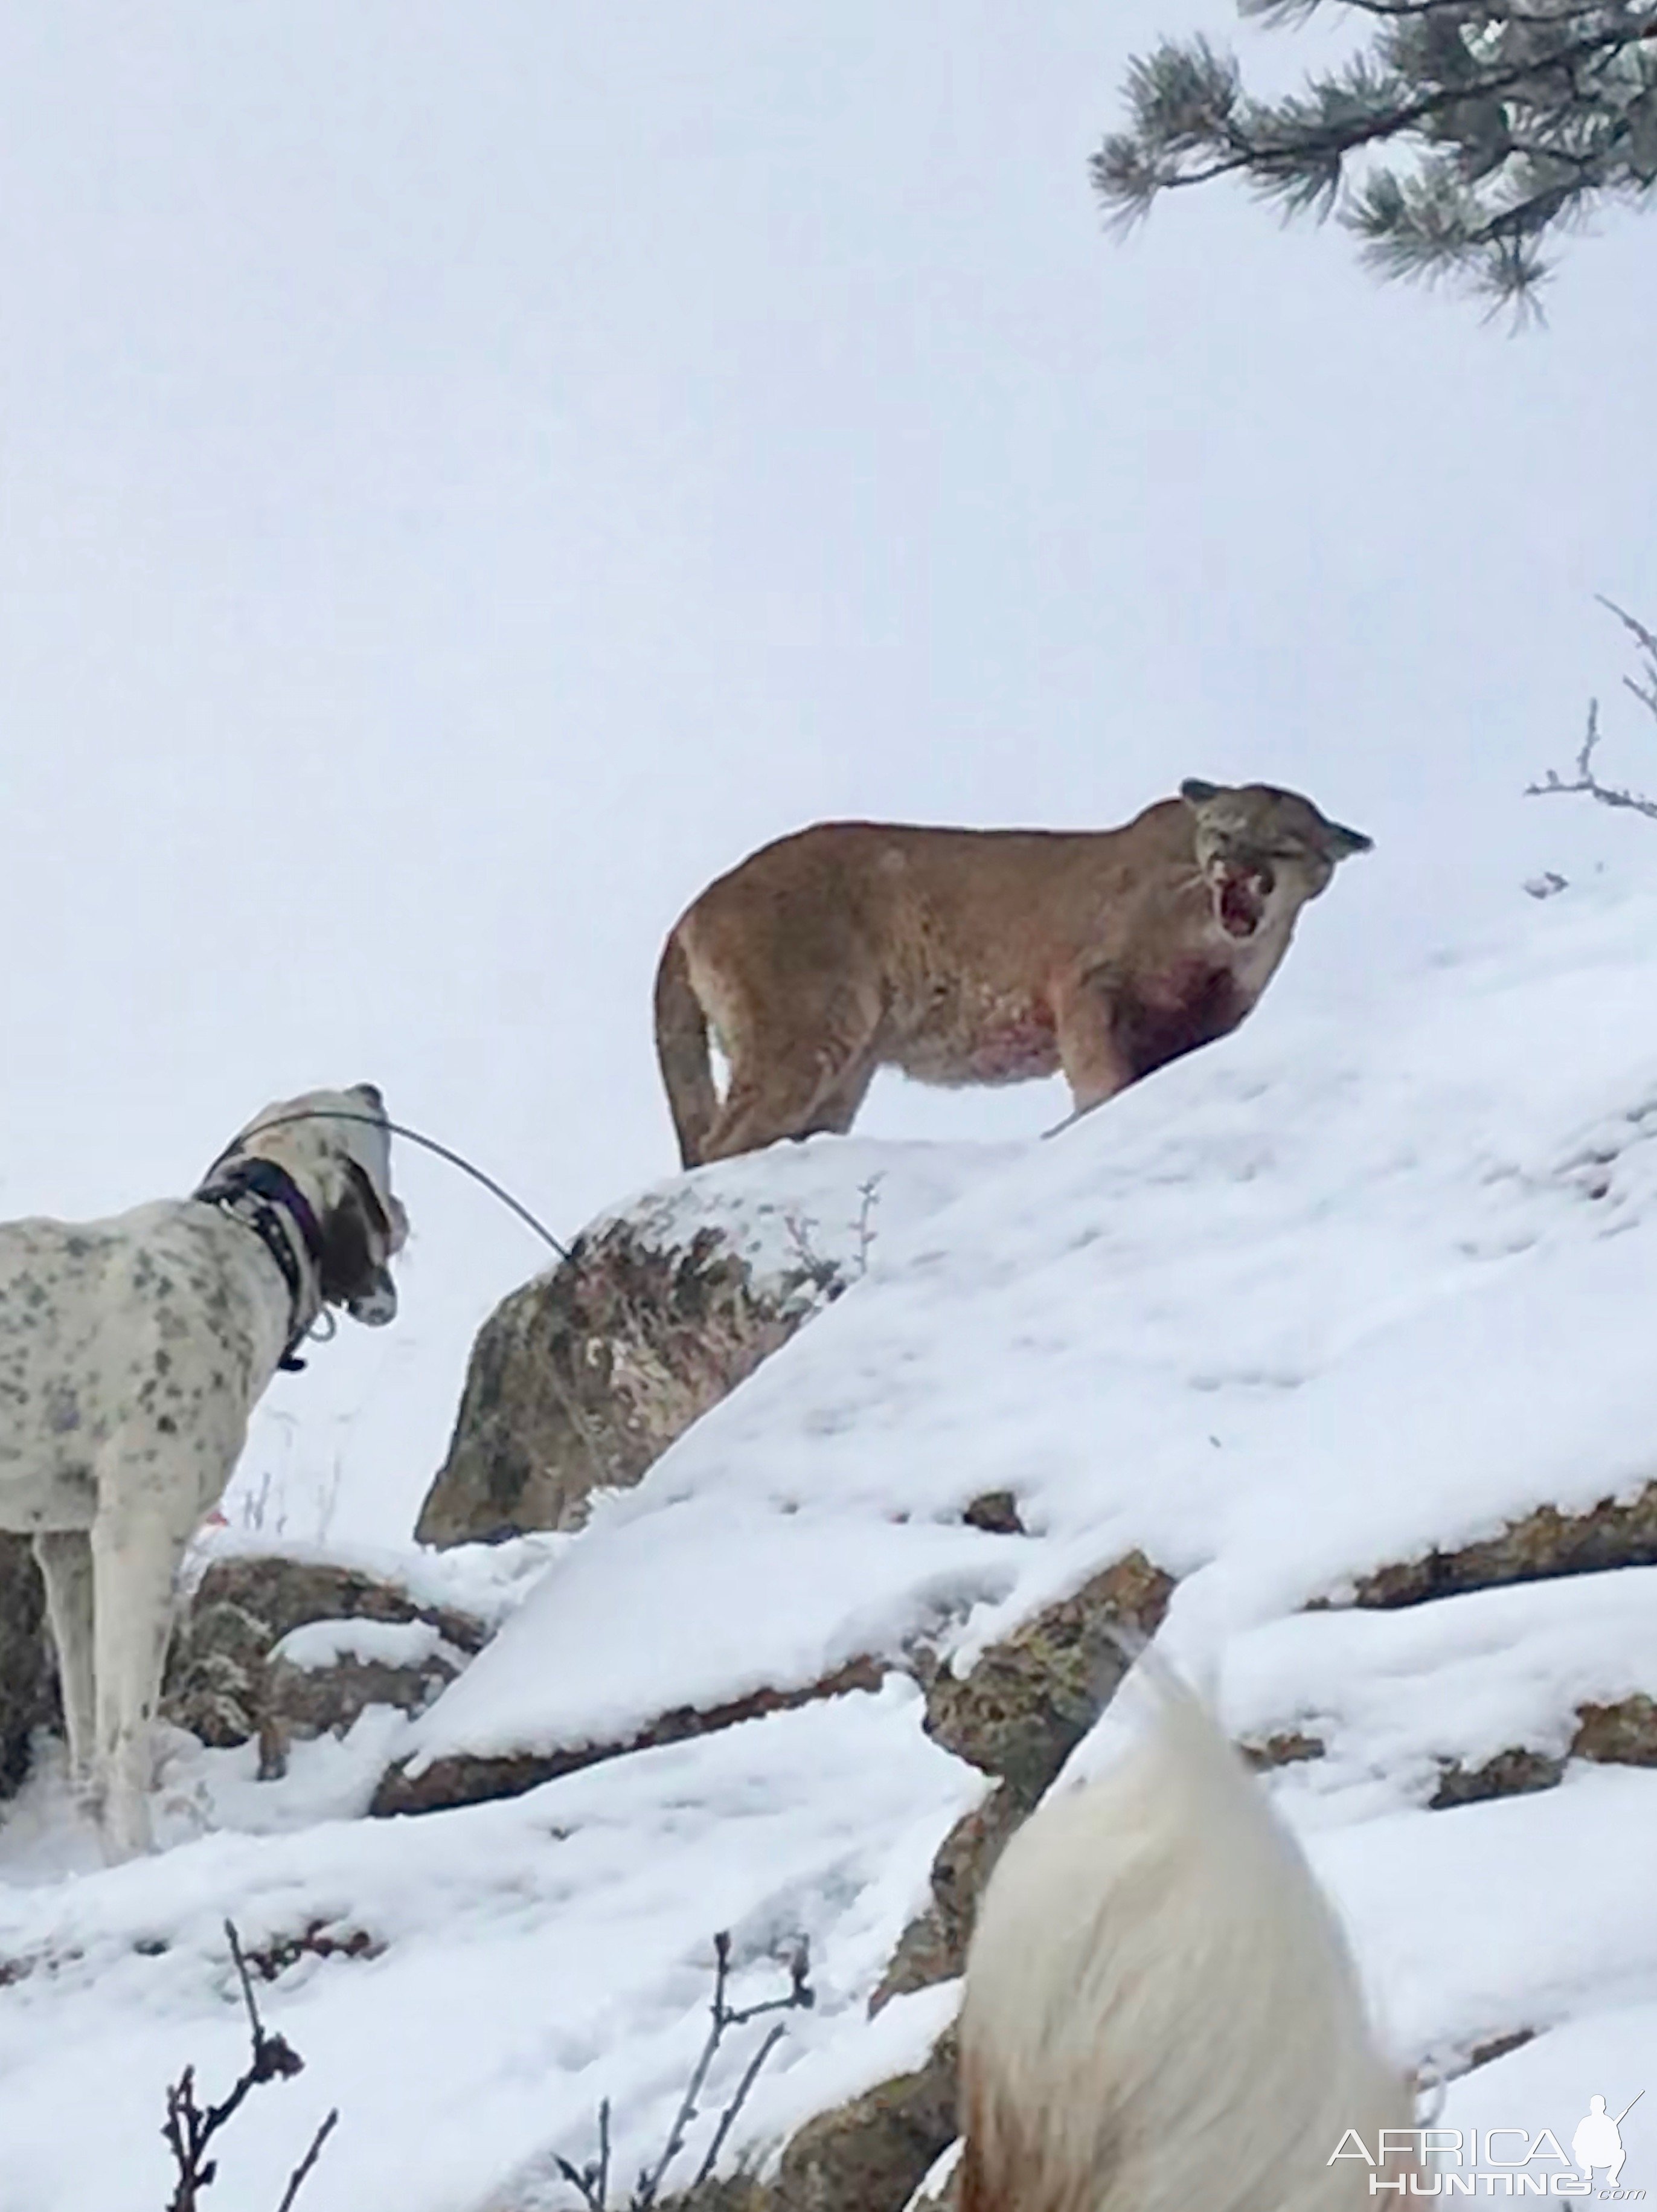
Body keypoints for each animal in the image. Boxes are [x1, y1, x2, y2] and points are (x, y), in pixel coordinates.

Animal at [0, 1079, 407, 1858]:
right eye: (358, 1114)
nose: (373, 1087)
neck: (250, 1235)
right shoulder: (140, 1537)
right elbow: (128, 1726)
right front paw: (136, 1853)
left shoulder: (70, 1549)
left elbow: (89, 1718)